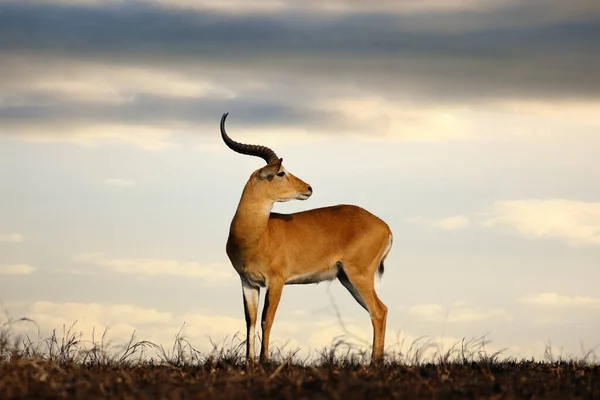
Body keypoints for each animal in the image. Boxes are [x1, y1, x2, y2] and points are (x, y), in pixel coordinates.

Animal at [221, 112, 394, 366]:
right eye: (281, 172)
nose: (308, 188)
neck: (257, 235)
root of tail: (385, 226)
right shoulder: (247, 282)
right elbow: (249, 321)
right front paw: (249, 363)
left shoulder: (276, 281)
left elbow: (266, 319)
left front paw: (264, 361)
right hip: (346, 278)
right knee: (378, 311)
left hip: (359, 275)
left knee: (379, 311)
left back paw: (374, 363)